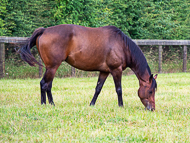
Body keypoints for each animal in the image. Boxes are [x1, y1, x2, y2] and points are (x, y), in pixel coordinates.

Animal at [17, 24, 157, 110]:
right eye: (150, 91)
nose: (152, 109)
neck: (122, 45)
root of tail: (44, 30)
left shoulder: (104, 71)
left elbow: (98, 89)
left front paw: (92, 104)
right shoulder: (116, 70)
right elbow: (119, 89)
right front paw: (121, 106)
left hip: (50, 68)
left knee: (48, 85)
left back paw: (50, 104)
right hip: (52, 67)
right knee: (44, 84)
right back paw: (46, 104)